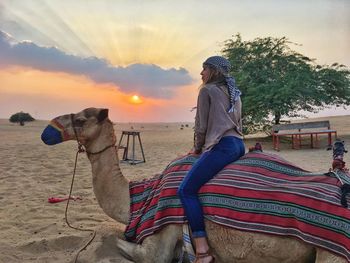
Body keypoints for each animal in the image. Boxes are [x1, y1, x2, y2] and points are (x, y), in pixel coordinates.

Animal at [41, 108, 348, 263]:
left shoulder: (160, 241)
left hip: (332, 251)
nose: (46, 131)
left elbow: (116, 243)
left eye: (82, 119)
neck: (138, 198)